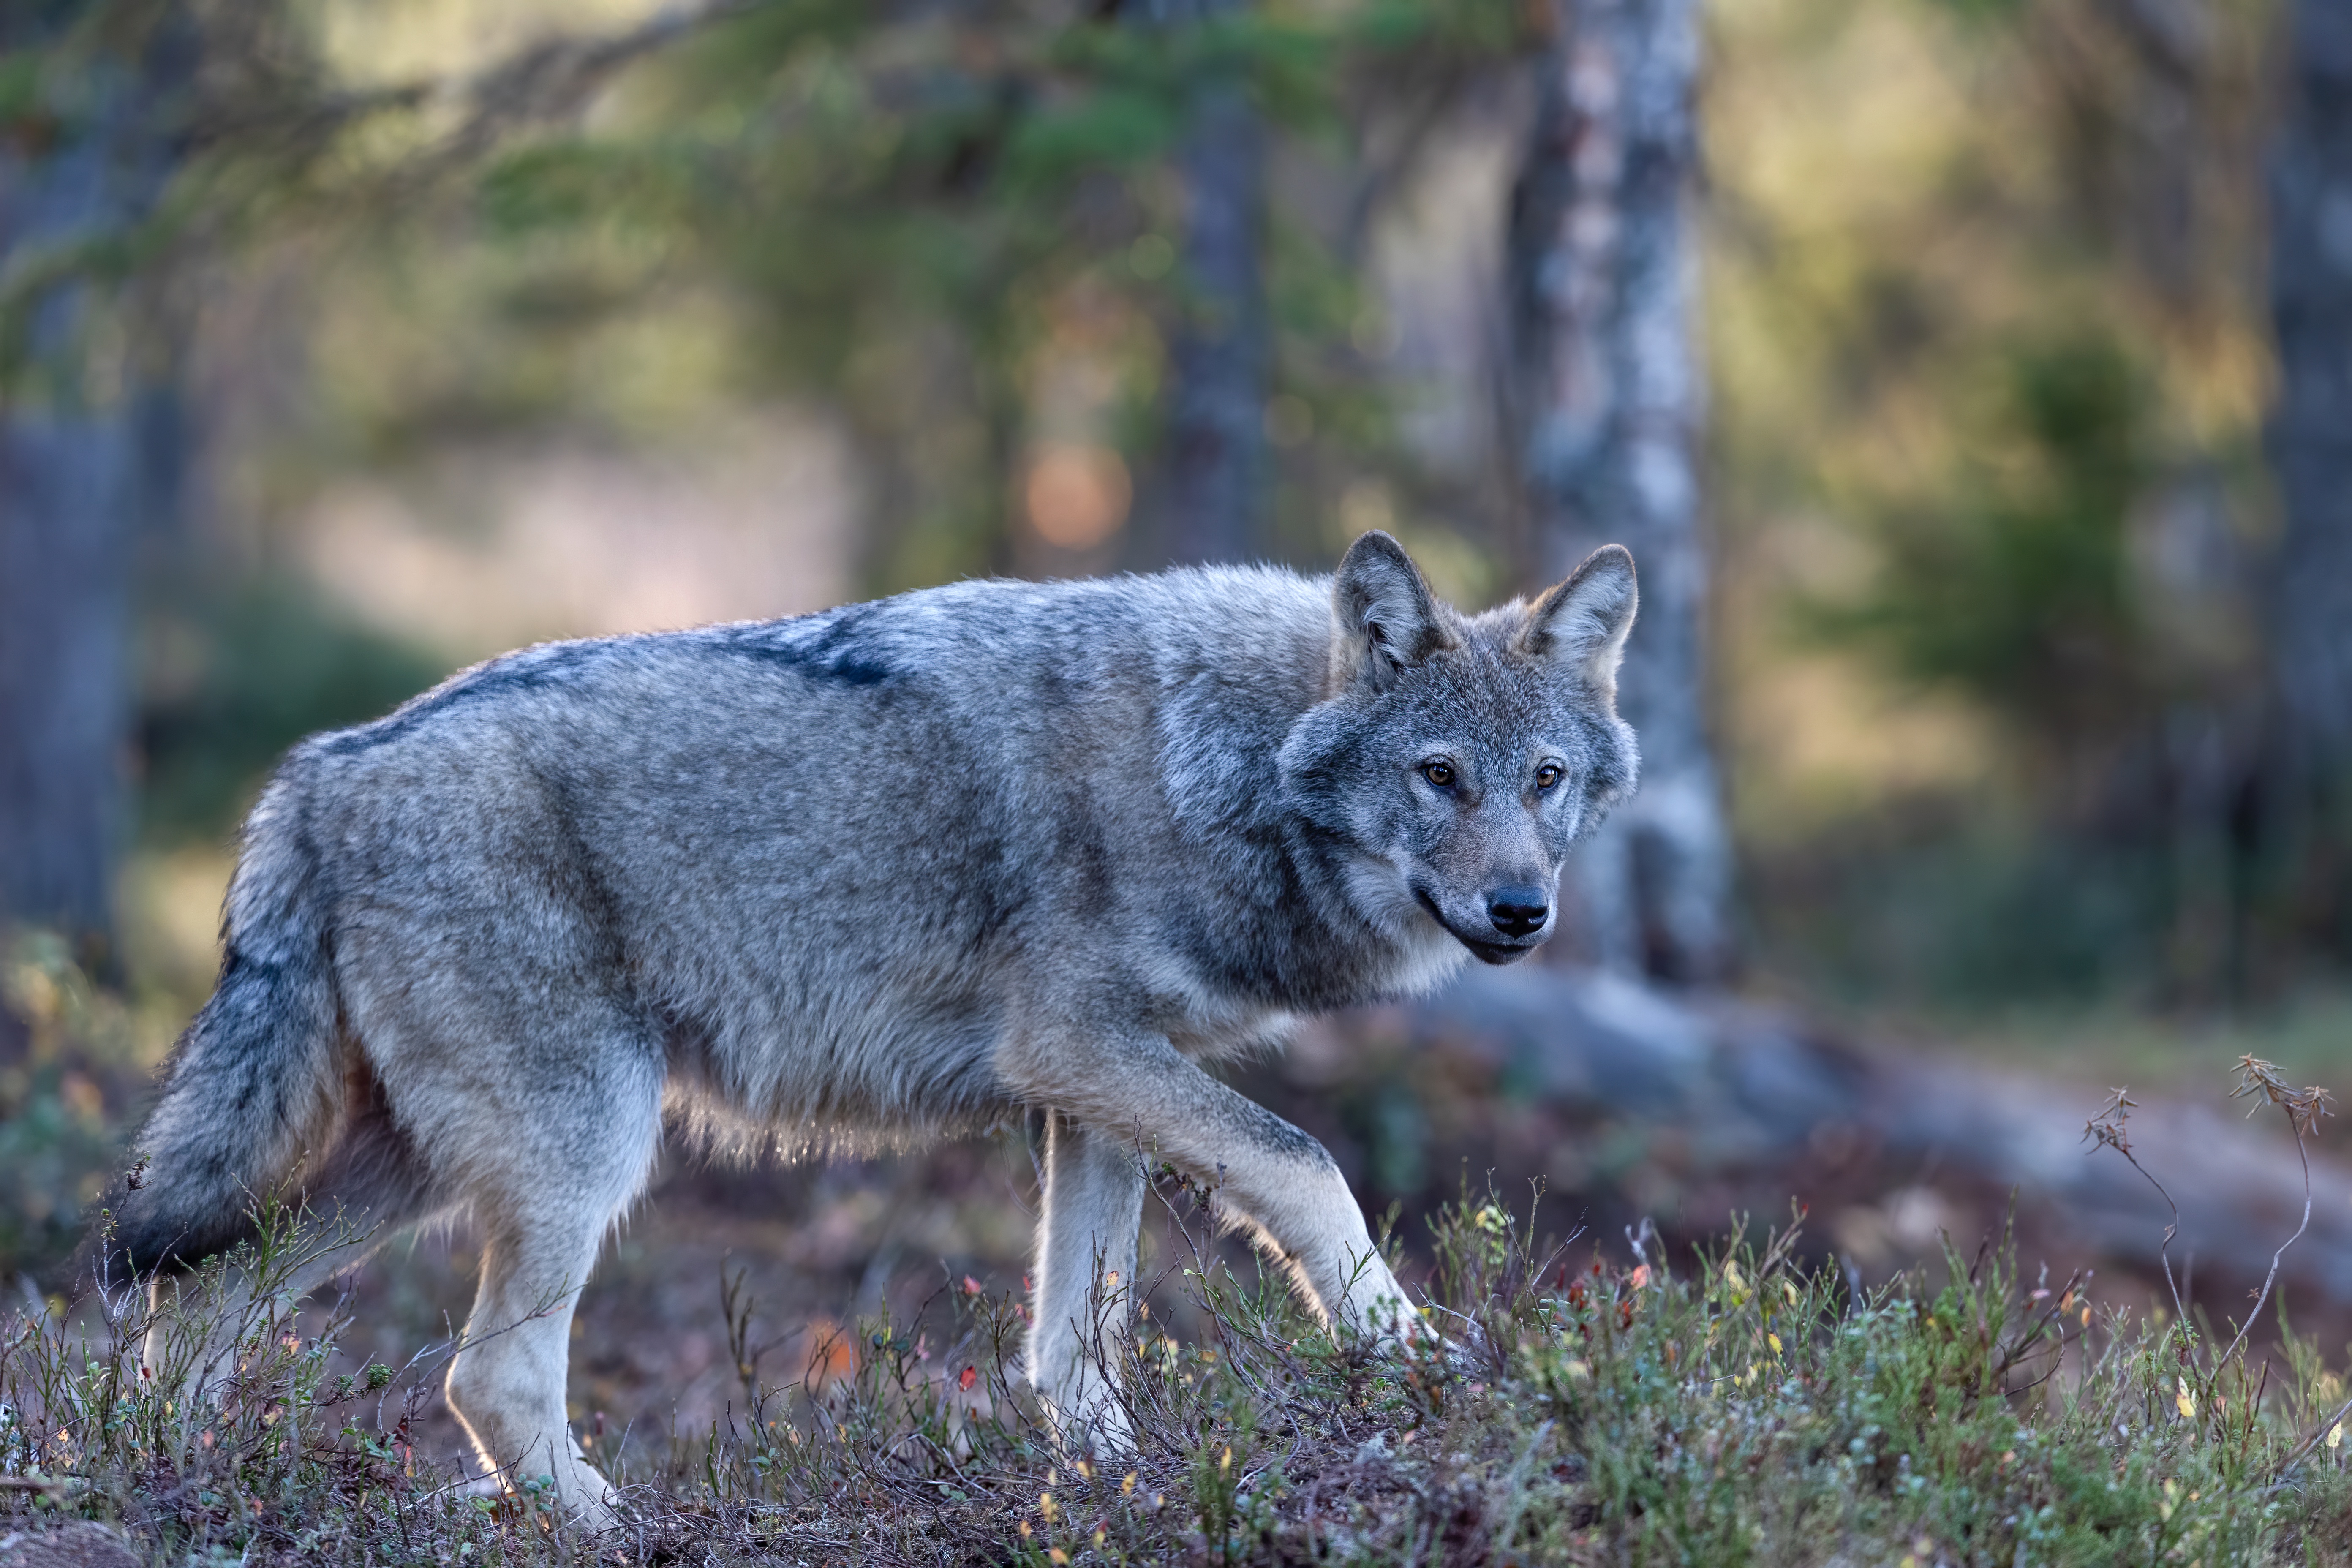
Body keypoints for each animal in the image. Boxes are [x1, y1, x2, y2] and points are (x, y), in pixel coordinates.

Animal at [92, 526, 1637, 1523]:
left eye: (1545, 779)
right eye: (1438, 776)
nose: (1520, 911)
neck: (1216, 763)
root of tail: (317, 771)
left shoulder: (1097, 1094)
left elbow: (1072, 1346)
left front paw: (1123, 1483)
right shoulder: (1081, 1055)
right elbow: (1312, 1173)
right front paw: (1420, 1362)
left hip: (408, 1175)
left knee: (199, 1303)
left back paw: (168, 1479)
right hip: (582, 1156)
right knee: (486, 1379)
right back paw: (608, 1527)